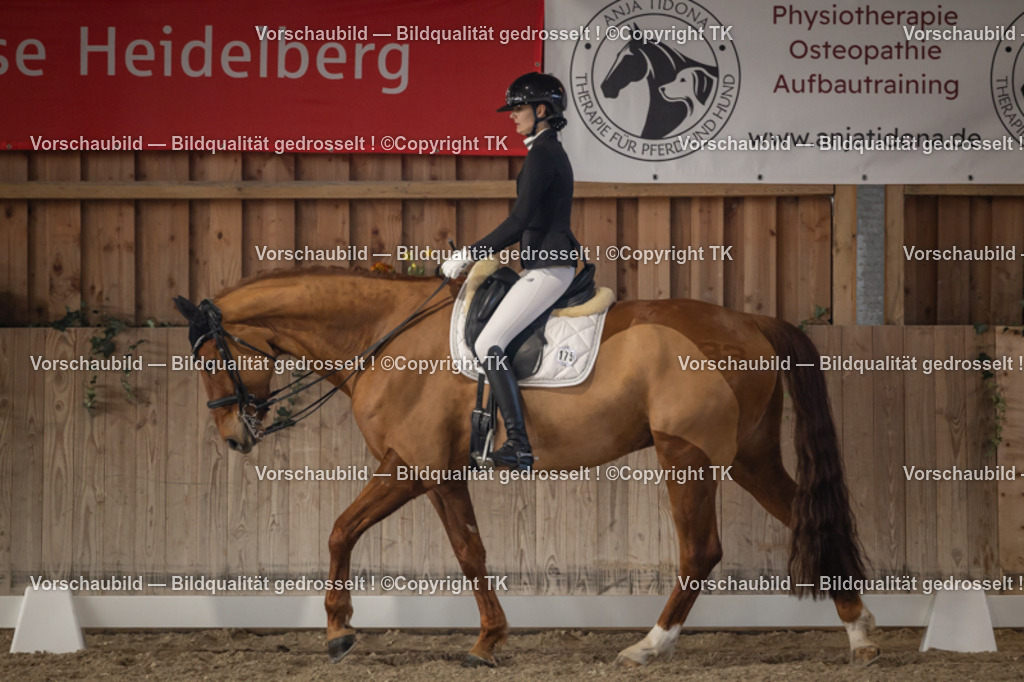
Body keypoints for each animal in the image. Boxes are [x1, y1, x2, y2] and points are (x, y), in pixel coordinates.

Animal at [173, 266, 881, 667]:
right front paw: (339, 631)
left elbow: (467, 551)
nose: (234, 438)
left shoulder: (427, 468)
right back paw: (861, 636)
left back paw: (649, 646)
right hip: (748, 458)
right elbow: (342, 531)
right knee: (807, 522)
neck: (385, 335)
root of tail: (750, 320)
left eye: (209, 359)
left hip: (687, 457)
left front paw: (487, 642)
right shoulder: (409, 467)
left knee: (701, 550)